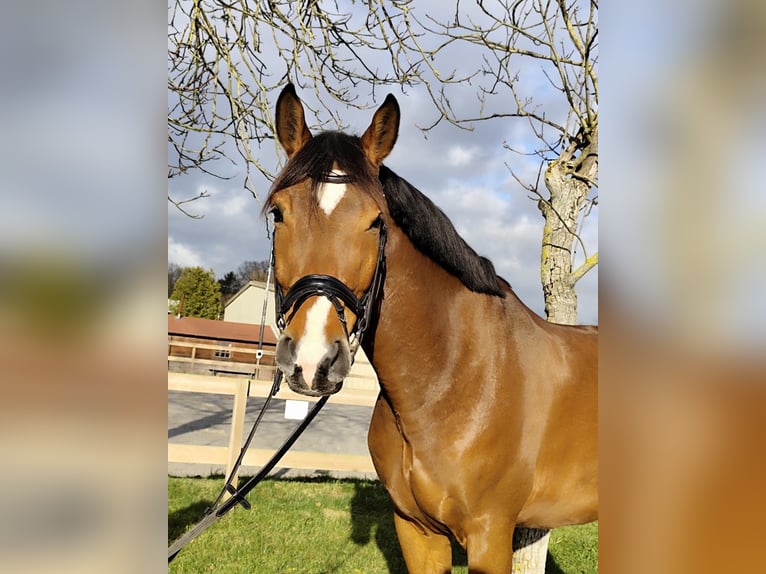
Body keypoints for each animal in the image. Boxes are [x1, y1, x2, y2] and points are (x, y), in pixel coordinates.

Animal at [266, 82, 600, 574]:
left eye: (375, 221)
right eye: (278, 214)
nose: (312, 361)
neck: (452, 378)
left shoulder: (489, 536)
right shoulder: (416, 530)